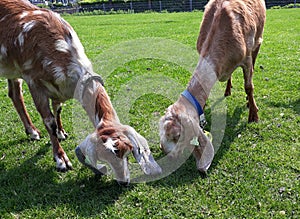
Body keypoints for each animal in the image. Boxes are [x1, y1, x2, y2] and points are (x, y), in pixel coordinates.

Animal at [0, 0, 162, 184]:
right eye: (102, 159)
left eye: (126, 152)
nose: (123, 181)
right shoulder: (33, 82)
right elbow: (49, 121)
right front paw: (61, 159)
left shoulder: (60, 88)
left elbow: (58, 109)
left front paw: (61, 132)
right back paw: (34, 131)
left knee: (14, 93)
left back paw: (32, 131)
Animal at [158, 0, 266, 175]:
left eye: (177, 135)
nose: (169, 155)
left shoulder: (247, 57)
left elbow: (249, 86)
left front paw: (253, 115)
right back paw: (227, 90)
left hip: (258, 39)